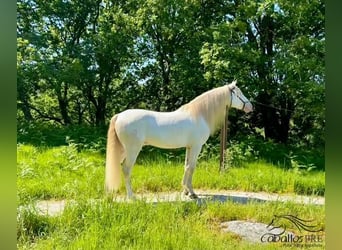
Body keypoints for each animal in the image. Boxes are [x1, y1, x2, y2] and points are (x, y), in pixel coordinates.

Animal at [105, 80, 252, 199]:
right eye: (239, 93)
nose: (251, 107)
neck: (200, 115)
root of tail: (119, 115)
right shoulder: (196, 147)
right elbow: (191, 167)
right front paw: (192, 193)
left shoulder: (189, 147)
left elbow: (186, 167)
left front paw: (185, 191)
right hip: (132, 150)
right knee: (126, 169)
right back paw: (132, 197)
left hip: (123, 150)